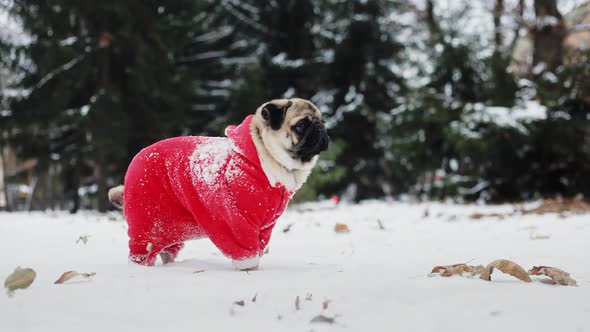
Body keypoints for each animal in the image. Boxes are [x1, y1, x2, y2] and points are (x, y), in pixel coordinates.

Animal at [109, 98, 330, 270]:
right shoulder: (239, 223)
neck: (262, 157)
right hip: (146, 226)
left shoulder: (264, 228)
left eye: (322, 122)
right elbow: (247, 255)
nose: (320, 128)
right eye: (301, 126)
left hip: (170, 228)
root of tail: (137, 158)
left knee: (167, 251)